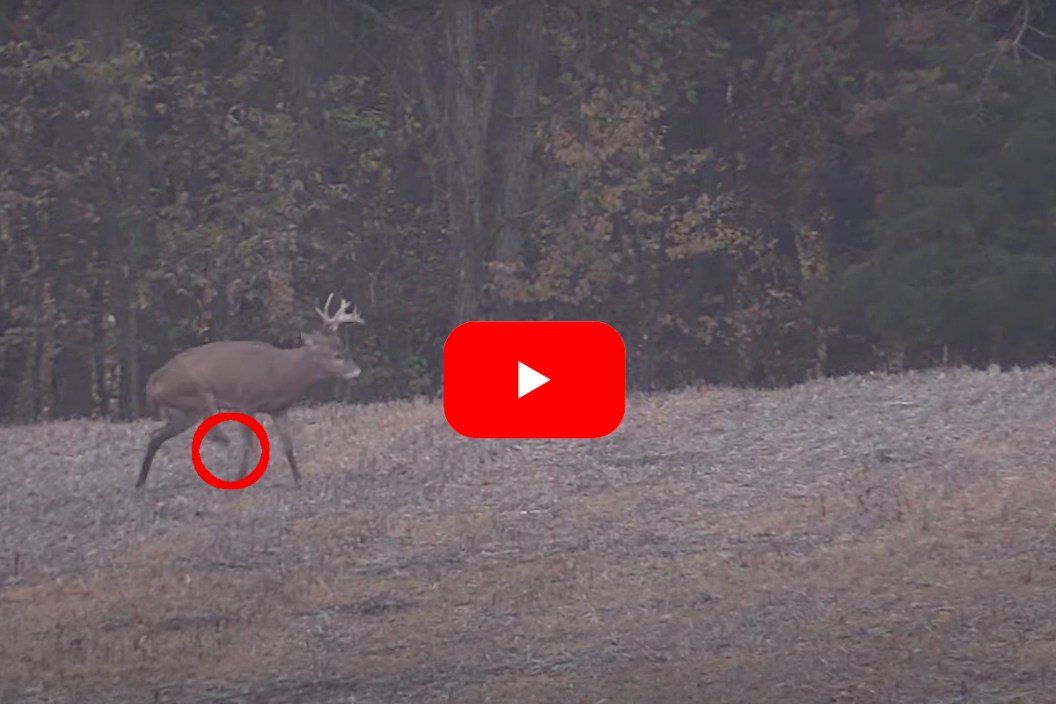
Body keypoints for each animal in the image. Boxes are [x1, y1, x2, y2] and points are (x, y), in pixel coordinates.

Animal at [136, 293, 365, 488]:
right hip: (198, 394)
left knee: (157, 435)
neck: (282, 373)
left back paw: (140, 482)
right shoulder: (245, 401)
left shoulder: (279, 408)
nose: (357, 372)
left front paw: (299, 480)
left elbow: (288, 446)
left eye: (344, 349)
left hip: (184, 411)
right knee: (217, 436)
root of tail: (152, 382)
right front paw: (243, 477)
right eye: (337, 354)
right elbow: (250, 445)